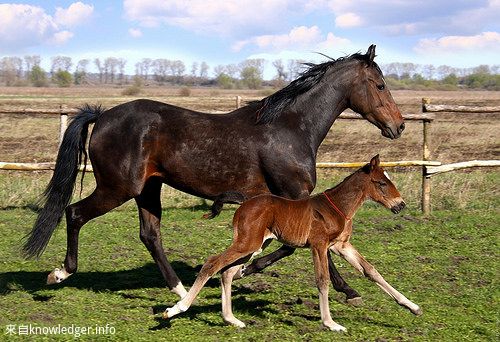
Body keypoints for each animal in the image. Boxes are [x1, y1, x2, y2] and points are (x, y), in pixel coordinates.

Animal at [24, 44, 406, 302]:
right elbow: (304, 247)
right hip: (117, 188)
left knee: (150, 235)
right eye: (380, 85)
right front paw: (348, 290)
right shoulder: (294, 197)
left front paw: (244, 269)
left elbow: (294, 246)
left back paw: (180, 290)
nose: (399, 126)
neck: (290, 128)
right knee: (74, 213)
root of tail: (102, 115)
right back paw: (60, 273)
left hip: (148, 189)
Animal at [164, 156, 422, 332]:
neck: (338, 207)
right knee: (212, 264)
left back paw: (232, 319)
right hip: (247, 244)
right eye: (381, 183)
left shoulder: (341, 246)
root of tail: (245, 202)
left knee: (227, 272)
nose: (400, 205)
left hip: (255, 245)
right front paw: (330, 323)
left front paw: (412, 306)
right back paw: (176, 309)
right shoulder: (319, 245)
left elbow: (371, 271)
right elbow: (322, 280)